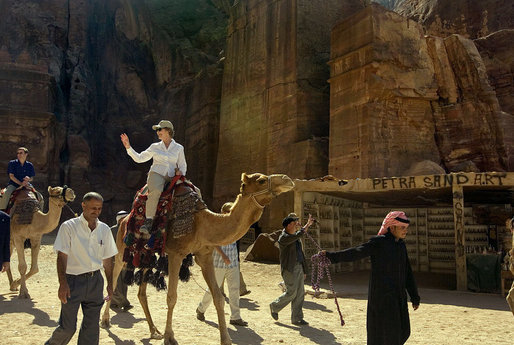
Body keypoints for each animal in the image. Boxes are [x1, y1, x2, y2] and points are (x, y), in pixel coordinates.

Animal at [101, 173, 292, 342]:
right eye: (261, 180)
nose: (287, 179)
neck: (202, 223)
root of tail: (125, 219)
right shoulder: (176, 254)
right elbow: (171, 297)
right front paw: (170, 337)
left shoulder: (205, 255)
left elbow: (218, 297)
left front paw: (226, 339)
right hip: (122, 247)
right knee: (114, 276)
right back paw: (105, 321)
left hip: (148, 253)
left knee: (141, 292)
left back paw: (154, 331)